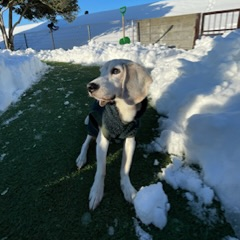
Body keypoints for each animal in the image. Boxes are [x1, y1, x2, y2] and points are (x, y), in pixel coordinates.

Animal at [76, 59, 153, 209]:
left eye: (115, 71)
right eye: (101, 72)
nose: (89, 87)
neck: (124, 110)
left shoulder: (131, 139)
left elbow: (125, 168)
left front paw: (127, 188)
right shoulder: (103, 138)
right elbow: (101, 170)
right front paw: (97, 191)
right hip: (93, 126)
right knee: (86, 142)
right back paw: (81, 158)